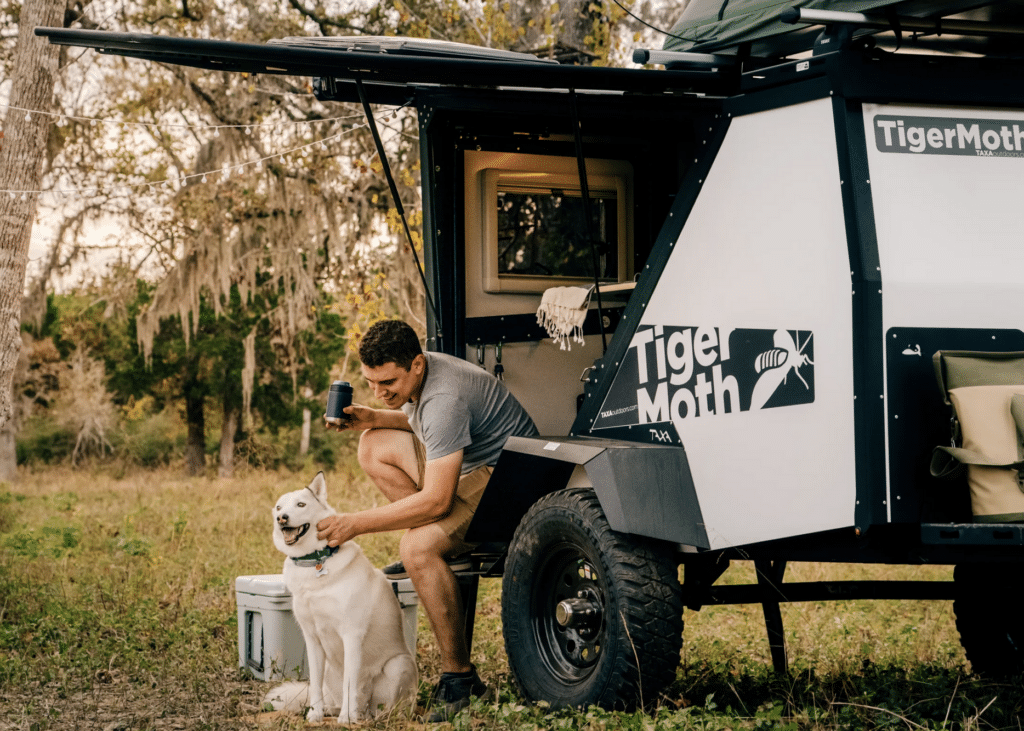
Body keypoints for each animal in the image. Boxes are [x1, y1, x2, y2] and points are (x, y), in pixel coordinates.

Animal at [270, 468, 421, 720]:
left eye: (301, 504)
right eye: (279, 507)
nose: (282, 518)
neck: (314, 562)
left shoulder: (351, 635)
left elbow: (350, 682)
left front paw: (346, 720)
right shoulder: (312, 639)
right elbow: (315, 684)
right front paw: (315, 714)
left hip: (398, 665)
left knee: (379, 706)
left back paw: (363, 715)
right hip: (331, 669)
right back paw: (333, 710)